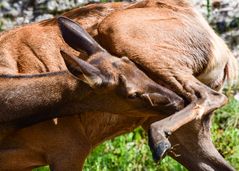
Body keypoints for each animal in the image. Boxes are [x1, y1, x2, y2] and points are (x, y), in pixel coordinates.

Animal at [0, 0, 236, 170]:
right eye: (133, 94)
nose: (175, 101)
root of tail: (221, 46)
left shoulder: (70, 145)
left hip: (118, 27)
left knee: (207, 95)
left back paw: (158, 137)